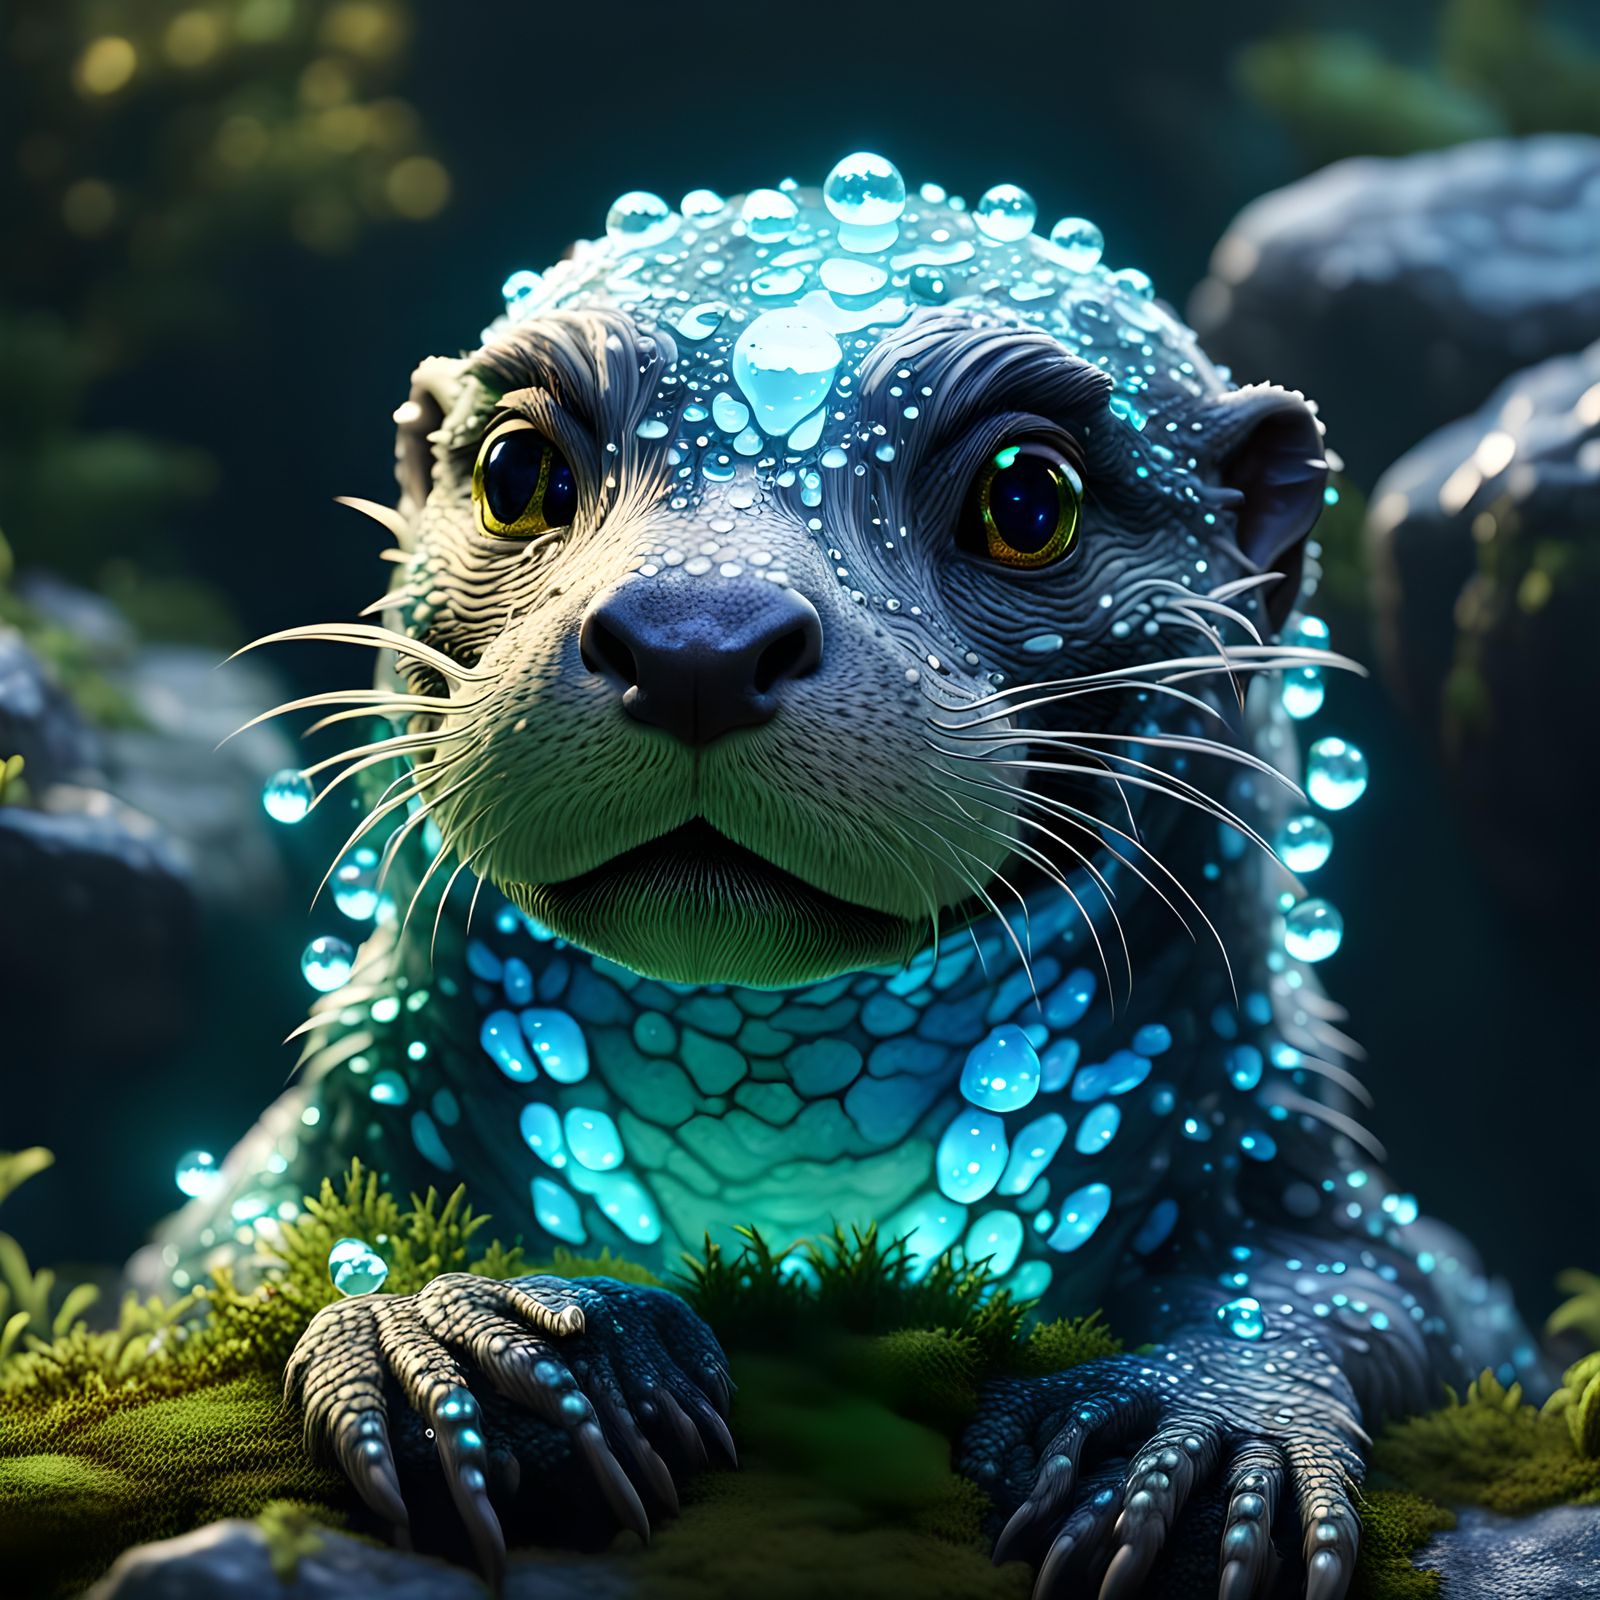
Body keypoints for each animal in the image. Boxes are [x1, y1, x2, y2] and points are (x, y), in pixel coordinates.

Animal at [143, 156, 1538, 1599]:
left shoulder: (1303, 1163)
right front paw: (458, 1323)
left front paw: (1197, 1424)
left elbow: (1387, 1286)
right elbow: (206, 1278)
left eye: (1025, 501)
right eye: (517, 471)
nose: (695, 637)